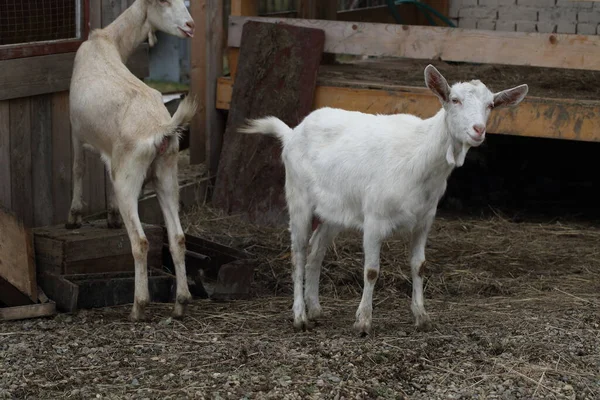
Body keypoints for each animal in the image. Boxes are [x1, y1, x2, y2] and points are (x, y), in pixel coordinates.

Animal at [66, 0, 197, 320]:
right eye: (167, 3)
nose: (190, 26)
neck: (107, 42)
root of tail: (161, 130)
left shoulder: (76, 128)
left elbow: (77, 167)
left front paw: (74, 216)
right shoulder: (110, 152)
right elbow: (103, 174)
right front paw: (111, 215)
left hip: (130, 175)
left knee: (140, 241)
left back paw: (139, 306)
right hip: (167, 174)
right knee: (177, 238)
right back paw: (181, 303)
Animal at [241, 65, 528, 334]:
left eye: (490, 105)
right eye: (455, 100)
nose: (478, 130)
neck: (420, 157)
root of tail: (291, 133)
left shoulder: (424, 220)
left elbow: (419, 266)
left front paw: (422, 317)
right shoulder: (374, 219)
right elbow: (371, 270)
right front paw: (363, 322)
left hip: (334, 210)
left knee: (316, 251)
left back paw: (315, 310)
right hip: (298, 197)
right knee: (298, 253)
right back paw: (300, 317)